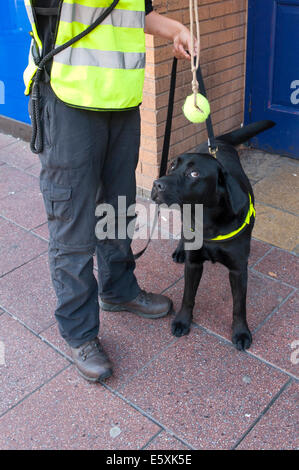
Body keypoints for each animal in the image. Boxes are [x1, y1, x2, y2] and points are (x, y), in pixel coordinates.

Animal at [152, 120, 276, 348]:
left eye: (194, 174)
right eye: (172, 165)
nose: (157, 184)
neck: (208, 222)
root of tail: (217, 141)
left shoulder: (238, 269)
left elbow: (239, 306)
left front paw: (241, 332)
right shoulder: (193, 264)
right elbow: (188, 296)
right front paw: (183, 320)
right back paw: (180, 250)